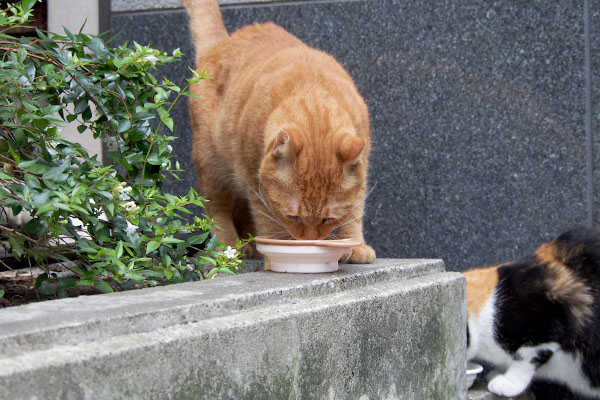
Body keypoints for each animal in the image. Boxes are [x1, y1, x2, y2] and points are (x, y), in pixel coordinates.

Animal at [180, 0, 376, 262]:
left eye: (328, 219)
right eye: (293, 216)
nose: (308, 242)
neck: (312, 93)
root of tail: (221, 42)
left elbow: (354, 213)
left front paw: (355, 245)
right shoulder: (255, 184)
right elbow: (268, 221)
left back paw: (248, 244)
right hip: (212, 164)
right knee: (217, 209)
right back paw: (230, 247)